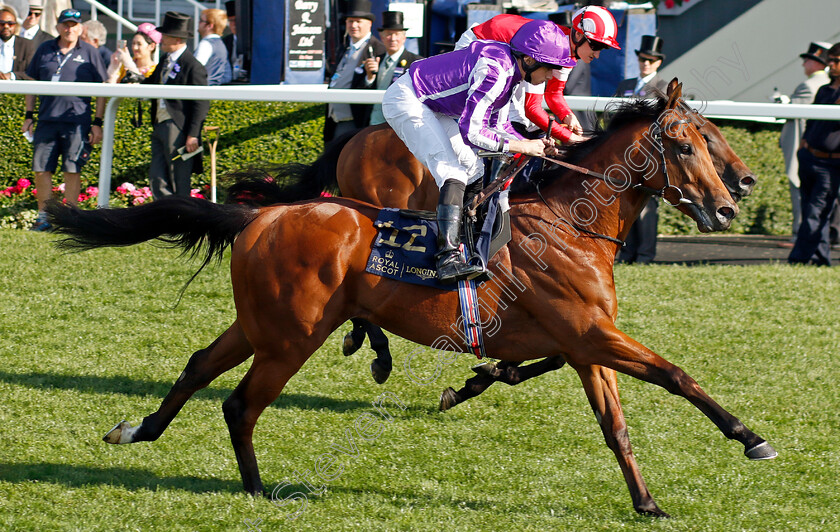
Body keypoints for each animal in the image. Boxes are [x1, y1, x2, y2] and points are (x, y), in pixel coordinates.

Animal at [49, 86, 776, 516]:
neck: (571, 224)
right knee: (242, 402)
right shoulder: (592, 337)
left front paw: (647, 502)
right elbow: (677, 375)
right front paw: (751, 438)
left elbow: (615, 425)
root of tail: (261, 215)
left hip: (259, 324)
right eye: (684, 143)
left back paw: (138, 431)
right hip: (290, 336)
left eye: (712, 137)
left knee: (201, 365)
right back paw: (258, 488)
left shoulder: (583, 344)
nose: (729, 201)